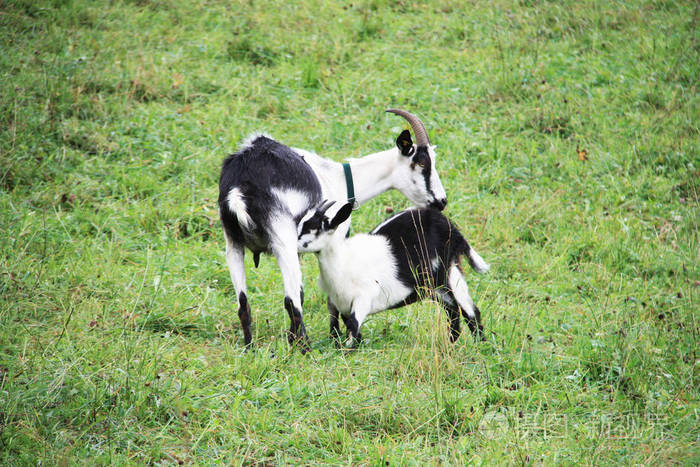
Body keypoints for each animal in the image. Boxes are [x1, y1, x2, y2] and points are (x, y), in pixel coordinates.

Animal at [219, 109, 448, 352]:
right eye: (422, 163)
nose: (442, 201)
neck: (339, 178)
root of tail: (239, 188)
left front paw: (295, 338)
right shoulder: (332, 238)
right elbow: (328, 297)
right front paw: (333, 336)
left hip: (233, 243)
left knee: (243, 303)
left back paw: (250, 347)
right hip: (283, 239)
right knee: (291, 300)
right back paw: (306, 348)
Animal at [298, 202, 490, 348]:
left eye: (314, 228)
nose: (294, 243)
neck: (343, 261)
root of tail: (453, 230)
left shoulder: (364, 296)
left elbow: (353, 323)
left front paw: (347, 349)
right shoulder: (336, 300)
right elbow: (336, 323)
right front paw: (343, 343)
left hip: (448, 272)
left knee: (469, 310)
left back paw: (479, 344)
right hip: (434, 287)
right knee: (453, 309)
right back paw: (452, 342)